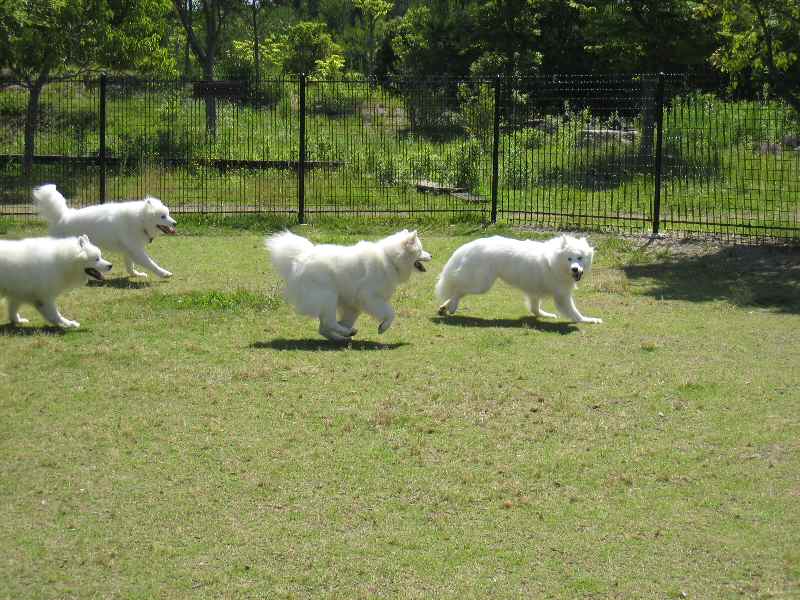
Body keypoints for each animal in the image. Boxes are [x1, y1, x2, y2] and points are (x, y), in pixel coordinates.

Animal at [33, 183, 177, 278]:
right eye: (163, 216)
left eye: (168, 214)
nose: (175, 223)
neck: (140, 220)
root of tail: (62, 216)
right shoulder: (137, 251)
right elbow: (151, 263)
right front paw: (164, 273)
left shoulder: (129, 250)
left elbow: (130, 266)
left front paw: (136, 274)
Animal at [268, 230, 432, 342]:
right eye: (420, 250)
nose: (431, 255)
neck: (390, 259)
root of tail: (298, 258)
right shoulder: (371, 298)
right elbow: (391, 313)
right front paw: (383, 327)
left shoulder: (354, 305)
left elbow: (345, 320)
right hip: (328, 297)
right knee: (329, 322)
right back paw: (346, 333)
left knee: (323, 328)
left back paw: (342, 337)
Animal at [438, 233, 600, 324]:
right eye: (569, 258)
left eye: (580, 258)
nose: (575, 269)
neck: (554, 261)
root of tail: (469, 246)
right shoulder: (562, 296)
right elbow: (575, 313)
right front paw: (589, 320)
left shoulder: (535, 292)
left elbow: (535, 309)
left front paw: (544, 315)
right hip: (481, 285)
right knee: (458, 290)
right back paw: (451, 307)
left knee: (456, 290)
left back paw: (444, 307)